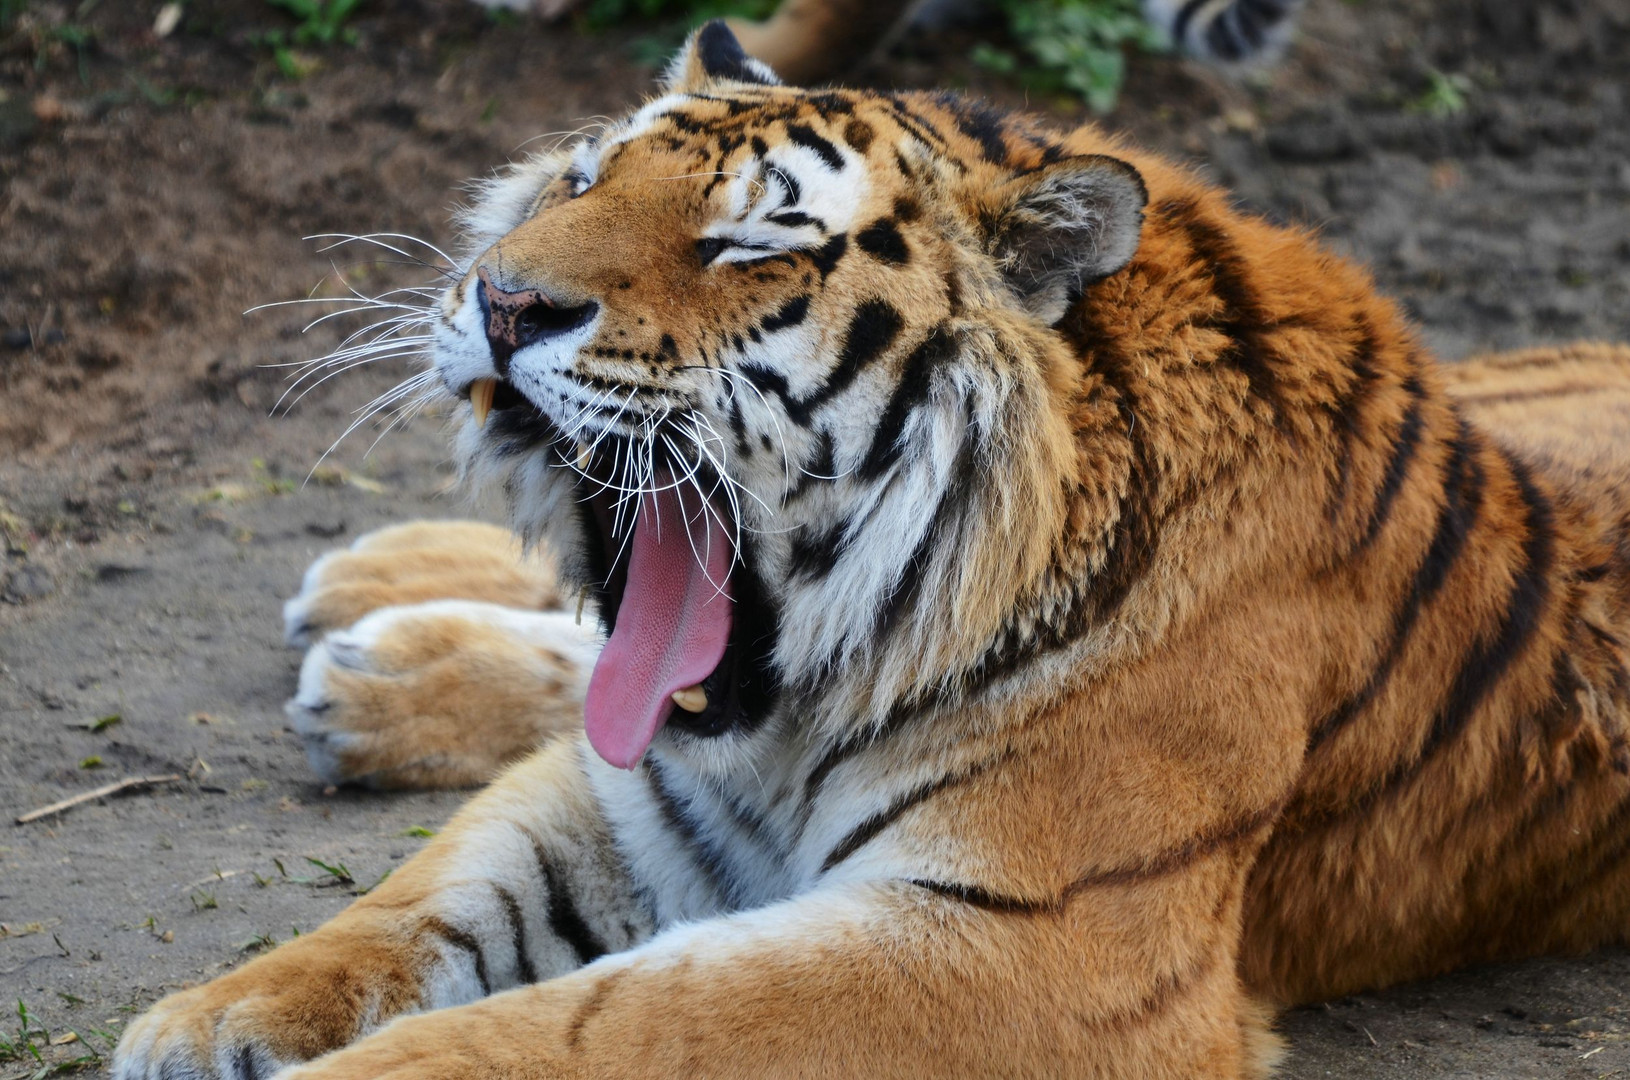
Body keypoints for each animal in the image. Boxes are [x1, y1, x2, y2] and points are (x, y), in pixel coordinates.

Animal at [111, 19, 1630, 1080]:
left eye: (743, 246)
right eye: (578, 179)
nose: (498, 299)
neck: (808, 689)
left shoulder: (1036, 947)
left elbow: (604, 1024)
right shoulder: (637, 796)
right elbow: (422, 902)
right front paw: (206, 1021)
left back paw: (367, 655)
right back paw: (372, 606)